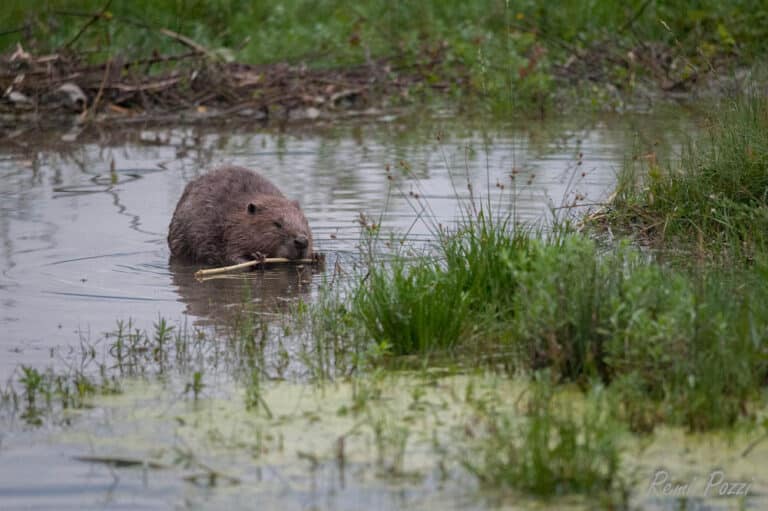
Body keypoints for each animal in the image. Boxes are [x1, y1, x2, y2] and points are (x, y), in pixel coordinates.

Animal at [168, 166, 312, 266]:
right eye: (277, 224)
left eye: (305, 222)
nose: (302, 241)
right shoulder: (227, 232)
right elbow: (230, 255)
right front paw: (258, 258)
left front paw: (315, 255)